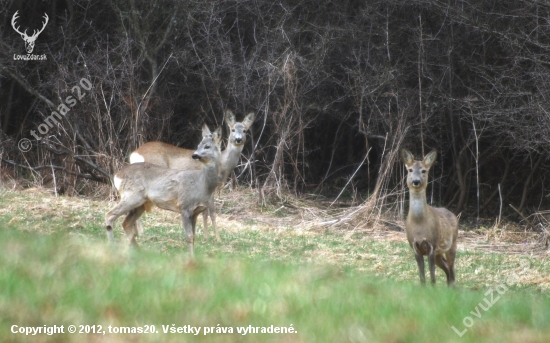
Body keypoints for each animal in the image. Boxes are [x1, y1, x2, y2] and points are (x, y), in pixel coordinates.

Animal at [105, 124, 220, 258]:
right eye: (199, 145)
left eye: (207, 146)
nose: (195, 155)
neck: (202, 183)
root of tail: (116, 175)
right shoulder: (185, 206)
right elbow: (192, 234)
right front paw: (193, 257)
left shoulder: (196, 210)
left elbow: (195, 233)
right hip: (132, 196)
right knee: (110, 215)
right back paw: (113, 247)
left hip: (140, 203)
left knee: (126, 223)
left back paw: (138, 250)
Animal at [130, 110, 256, 242]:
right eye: (232, 129)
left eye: (245, 130)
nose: (238, 139)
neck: (222, 164)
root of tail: (135, 154)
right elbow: (210, 212)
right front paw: (214, 238)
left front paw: (206, 235)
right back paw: (141, 233)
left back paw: (135, 232)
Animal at [402, 149, 462, 286]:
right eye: (410, 170)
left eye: (424, 170)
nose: (416, 181)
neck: (419, 224)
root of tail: (453, 214)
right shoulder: (415, 246)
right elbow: (422, 277)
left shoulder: (432, 245)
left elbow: (433, 276)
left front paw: (433, 288)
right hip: (439, 254)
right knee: (447, 270)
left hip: (452, 244)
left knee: (452, 270)